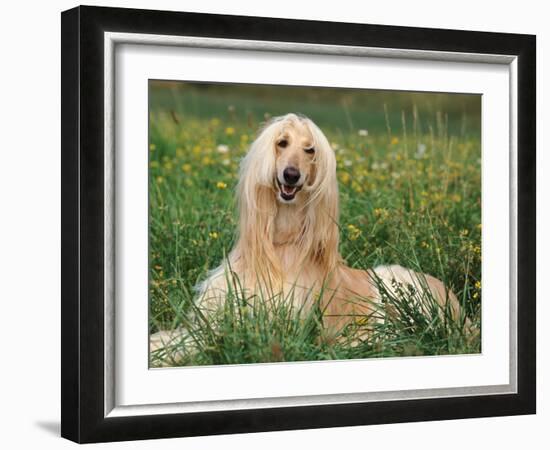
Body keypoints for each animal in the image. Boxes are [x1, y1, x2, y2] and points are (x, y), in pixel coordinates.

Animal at [151, 113, 466, 362]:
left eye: (310, 149)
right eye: (282, 143)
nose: (291, 175)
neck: (280, 246)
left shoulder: (277, 324)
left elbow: (206, 342)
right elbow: (184, 336)